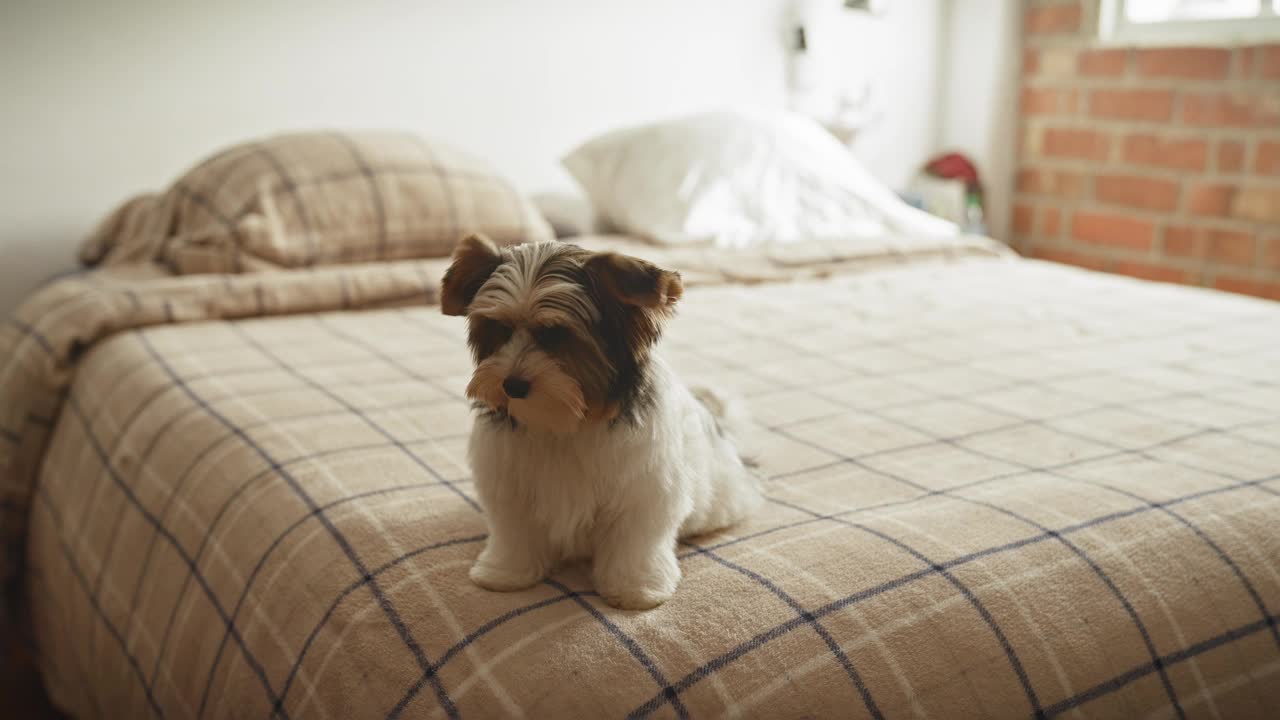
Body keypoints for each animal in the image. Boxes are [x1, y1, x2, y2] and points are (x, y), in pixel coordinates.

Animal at [440, 234, 757, 604]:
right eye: (500, 330)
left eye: (556, 335)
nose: (512, 385)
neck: (564, 419)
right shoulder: (512, 487)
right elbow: (516, 531)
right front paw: (505, 572)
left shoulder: (641, 489)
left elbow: (634, 539)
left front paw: (635, 587)